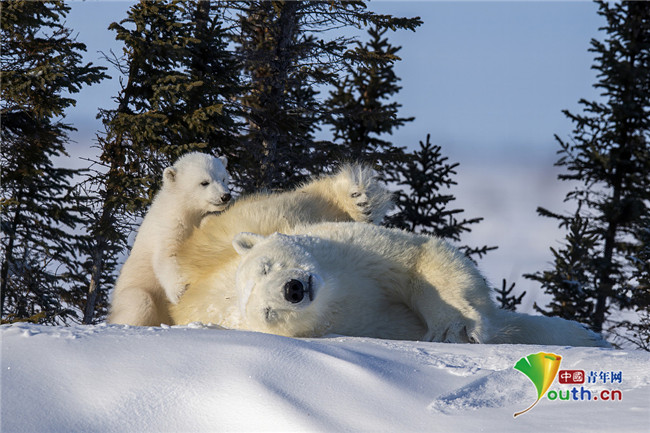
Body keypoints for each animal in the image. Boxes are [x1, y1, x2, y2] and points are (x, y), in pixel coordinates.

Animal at [105, 152, 228, 324]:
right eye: (204, 182)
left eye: (223, 178)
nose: (225, 196)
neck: (187, 211)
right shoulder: (169, 226)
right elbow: (168, 256)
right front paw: (181, 290)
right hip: (130, 292)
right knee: (139, 303)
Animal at [229, 221, 608, 346]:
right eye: (269, 312)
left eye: (268, 266)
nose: (292, 289)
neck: (337, 289)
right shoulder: (364, 322)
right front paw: (450, 334)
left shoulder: (356, 252)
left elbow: (418, 259)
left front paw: (452, 327)